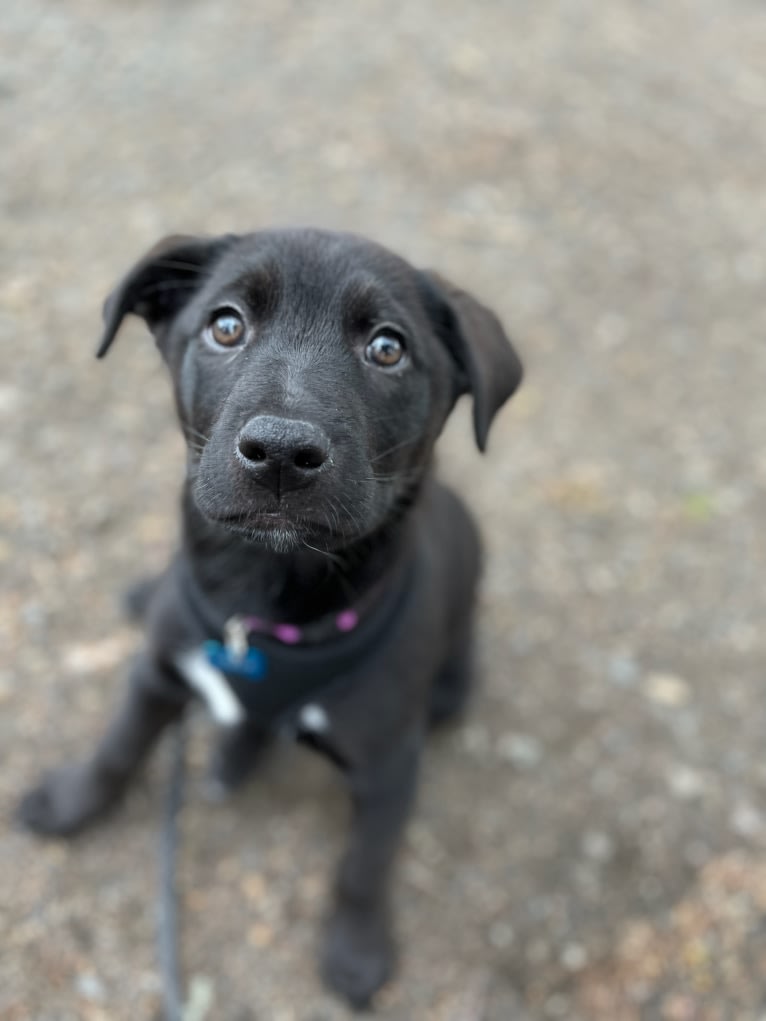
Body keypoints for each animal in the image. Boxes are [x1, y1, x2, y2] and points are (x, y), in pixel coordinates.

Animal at [18, 229, 527, 1004]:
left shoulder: (388, 762)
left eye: (388, 347)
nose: (282, 453)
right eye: (226, 326)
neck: (262, 604)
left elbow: (364, 865)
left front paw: (356, 952)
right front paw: (73, 801)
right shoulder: (159, 668)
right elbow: (119, 744)